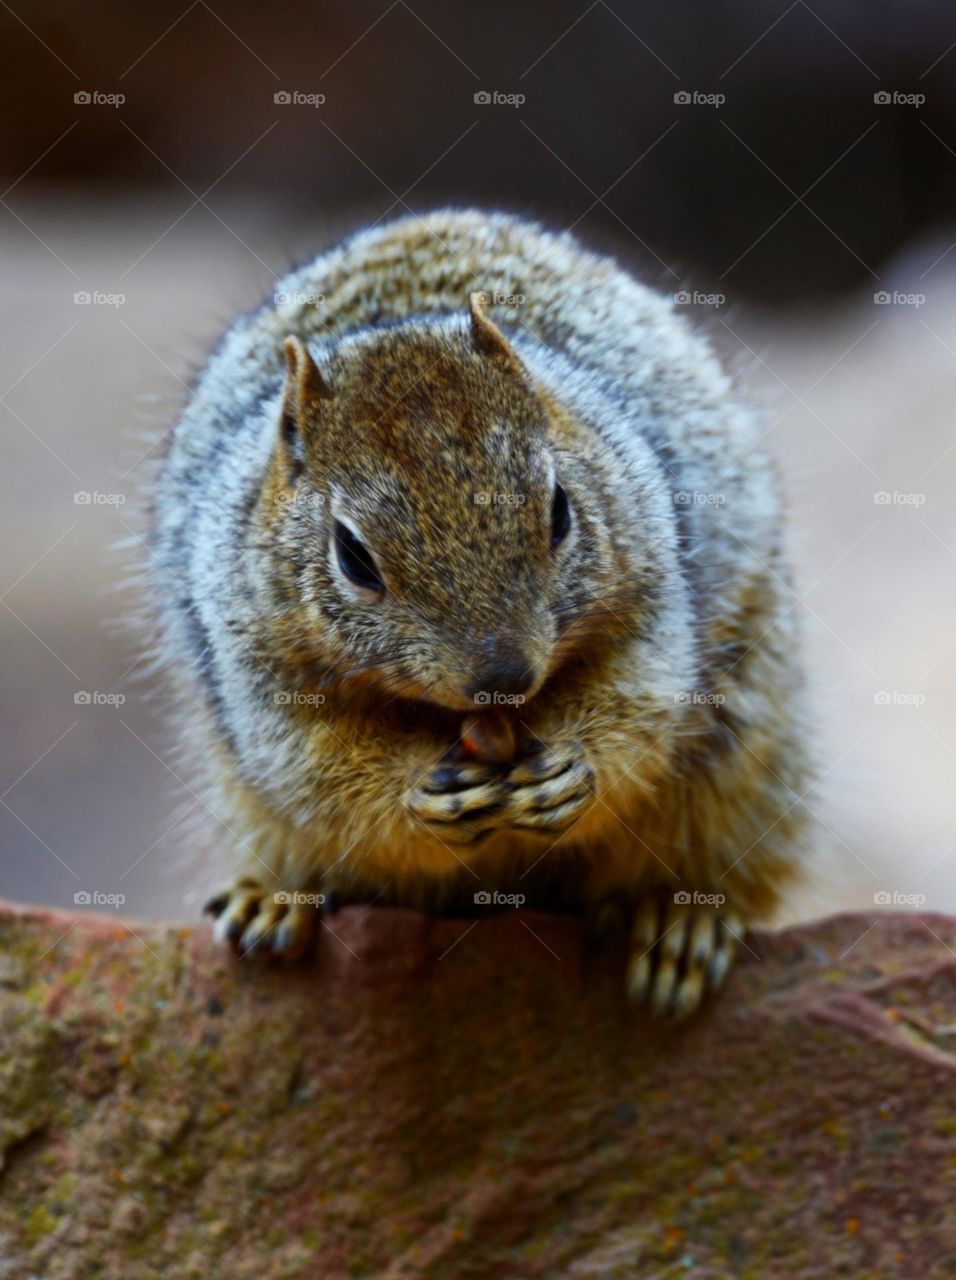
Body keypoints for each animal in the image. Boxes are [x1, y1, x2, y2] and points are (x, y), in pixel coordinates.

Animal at [148, 208, 810, 1017]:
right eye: (353, 557)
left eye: (560, 510)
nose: (504, 677)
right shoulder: (260, 676)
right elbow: (322, 773)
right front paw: (419, 796)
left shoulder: (652, 602)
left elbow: (635, 713)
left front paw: (572, 770)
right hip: (244, 803)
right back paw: (272, 902)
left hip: (743, 749)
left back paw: (674, 927)